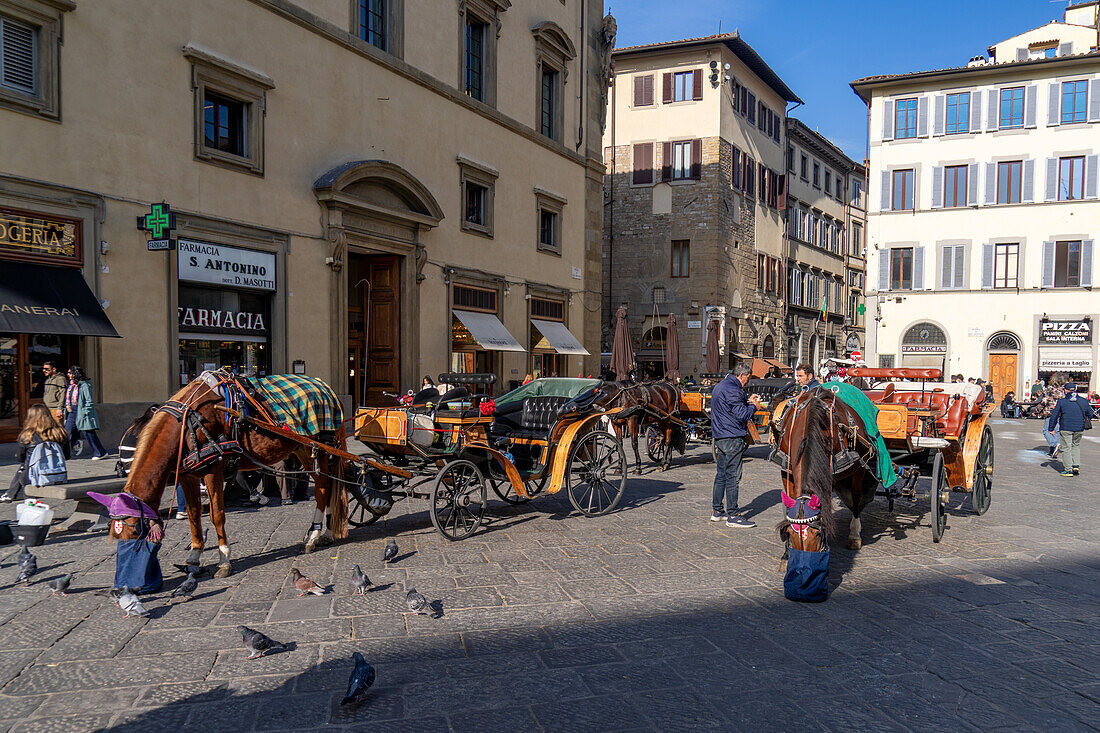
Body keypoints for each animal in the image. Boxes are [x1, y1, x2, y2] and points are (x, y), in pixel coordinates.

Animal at [121, 374, 345, 572]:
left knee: (323, 488)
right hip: (303, 448)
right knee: (328, 485)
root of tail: (327, 388)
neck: (187, 423)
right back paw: (327, 532)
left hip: (320, 447)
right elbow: (193, 514)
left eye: (134, 531)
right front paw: (194, 555)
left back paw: (314, 536)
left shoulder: (214, 469)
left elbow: (217, 514)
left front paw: (223, 559)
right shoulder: (187, 475)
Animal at [774, 387, 875, 548]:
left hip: (859, 468)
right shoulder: (786, 470)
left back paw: (854, 534)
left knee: (856, 498)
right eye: (789, 534)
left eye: (818, 534)